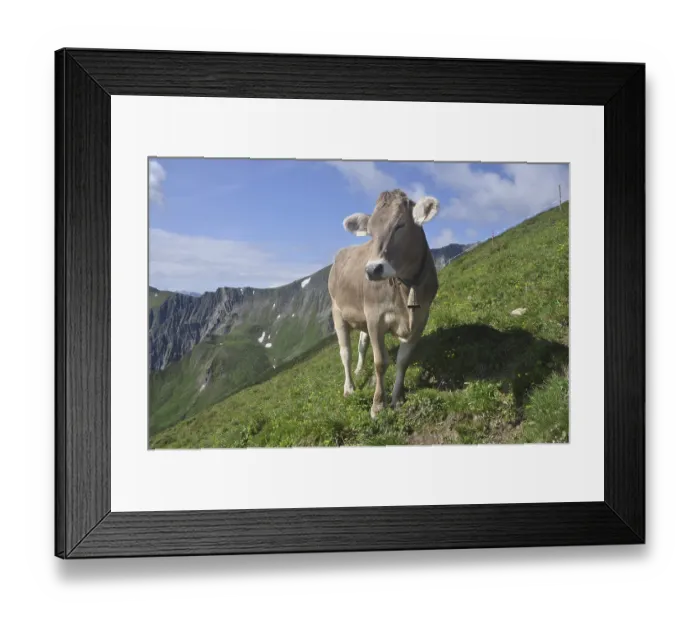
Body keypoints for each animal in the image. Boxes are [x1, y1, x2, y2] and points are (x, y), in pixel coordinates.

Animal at [328, 189, 440, 418]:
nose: (372, 269)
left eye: (400, 225)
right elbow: (380, 362)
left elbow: (403, 361)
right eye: (370, 233)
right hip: (337, 312)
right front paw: (378, 405)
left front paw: (397, 397)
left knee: (361, 346)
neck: (406, 287)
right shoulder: (375, 317)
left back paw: (359, 370)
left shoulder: (421, 318)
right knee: (345, 353)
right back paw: (349, 387)